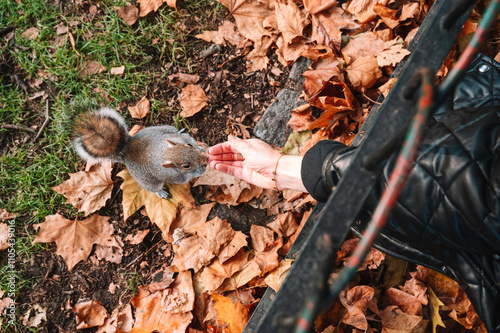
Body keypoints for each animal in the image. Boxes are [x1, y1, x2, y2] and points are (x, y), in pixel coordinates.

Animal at [73, 107, 207, 198]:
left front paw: (201, 149)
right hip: (148, 182)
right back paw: (161, 193)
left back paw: (180, 131)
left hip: (165, 128)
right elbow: (185, 178)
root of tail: (126, 151)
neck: (165, 152)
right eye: (185, 166)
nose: (205, 158)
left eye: (189, 145)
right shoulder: (171, 175)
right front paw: (200, 170)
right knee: (154, 188)